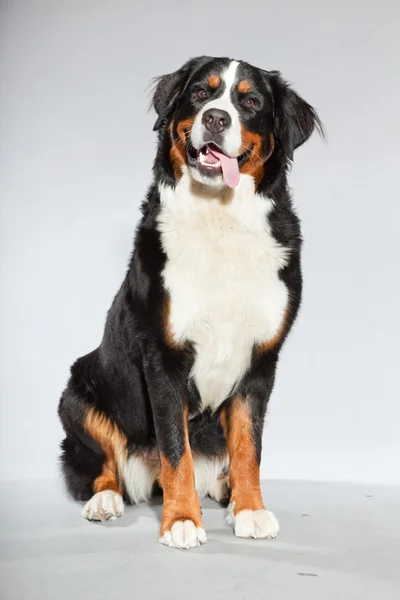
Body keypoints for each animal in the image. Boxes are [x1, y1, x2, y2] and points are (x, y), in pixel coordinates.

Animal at [57, 55, 324, 548]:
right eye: (201, 92)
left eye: (250, 102)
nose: (216, 118)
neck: (220, 218)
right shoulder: (164, 357)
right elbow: (174, 448)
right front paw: (181, 519)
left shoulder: (262, 360)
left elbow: (249, 446)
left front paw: (251, 509)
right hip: (78, 391)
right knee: (107, 462)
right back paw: (105, 500)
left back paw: (228, 490)